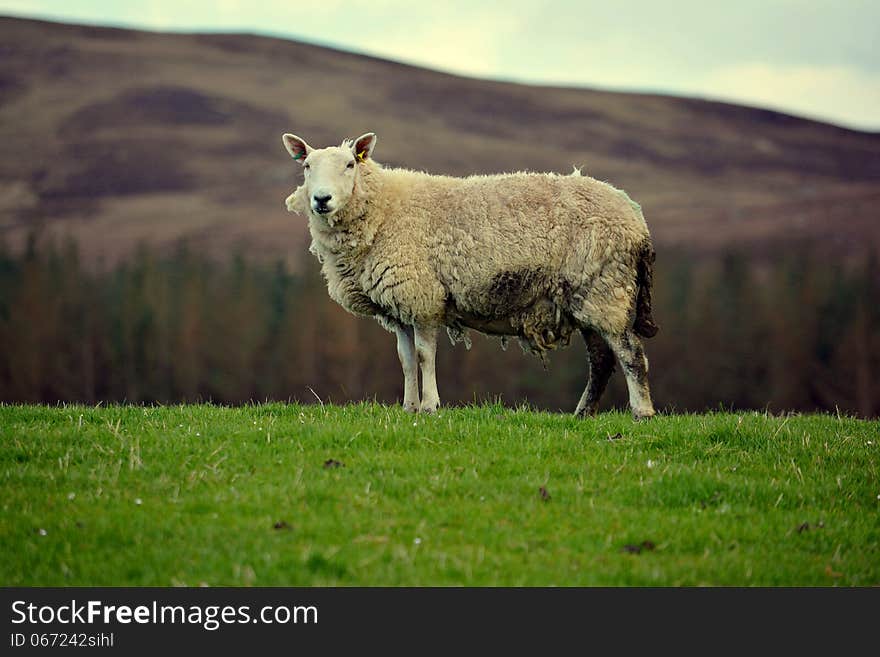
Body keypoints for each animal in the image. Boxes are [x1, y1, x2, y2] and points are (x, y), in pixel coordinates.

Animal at [282, 133, 660, 420]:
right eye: (306, 166)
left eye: (350, 165)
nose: (321, 200)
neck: (383, 209)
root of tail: (635, 215)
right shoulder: (399, 306)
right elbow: (406, 360)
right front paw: (408, 407)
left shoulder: (423, 297)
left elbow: (424, 355)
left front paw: (430, 406)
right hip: (585, 295)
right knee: (601, 360)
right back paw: (583, 413)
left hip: (606, 288)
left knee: (630, 353)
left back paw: (642, 412)